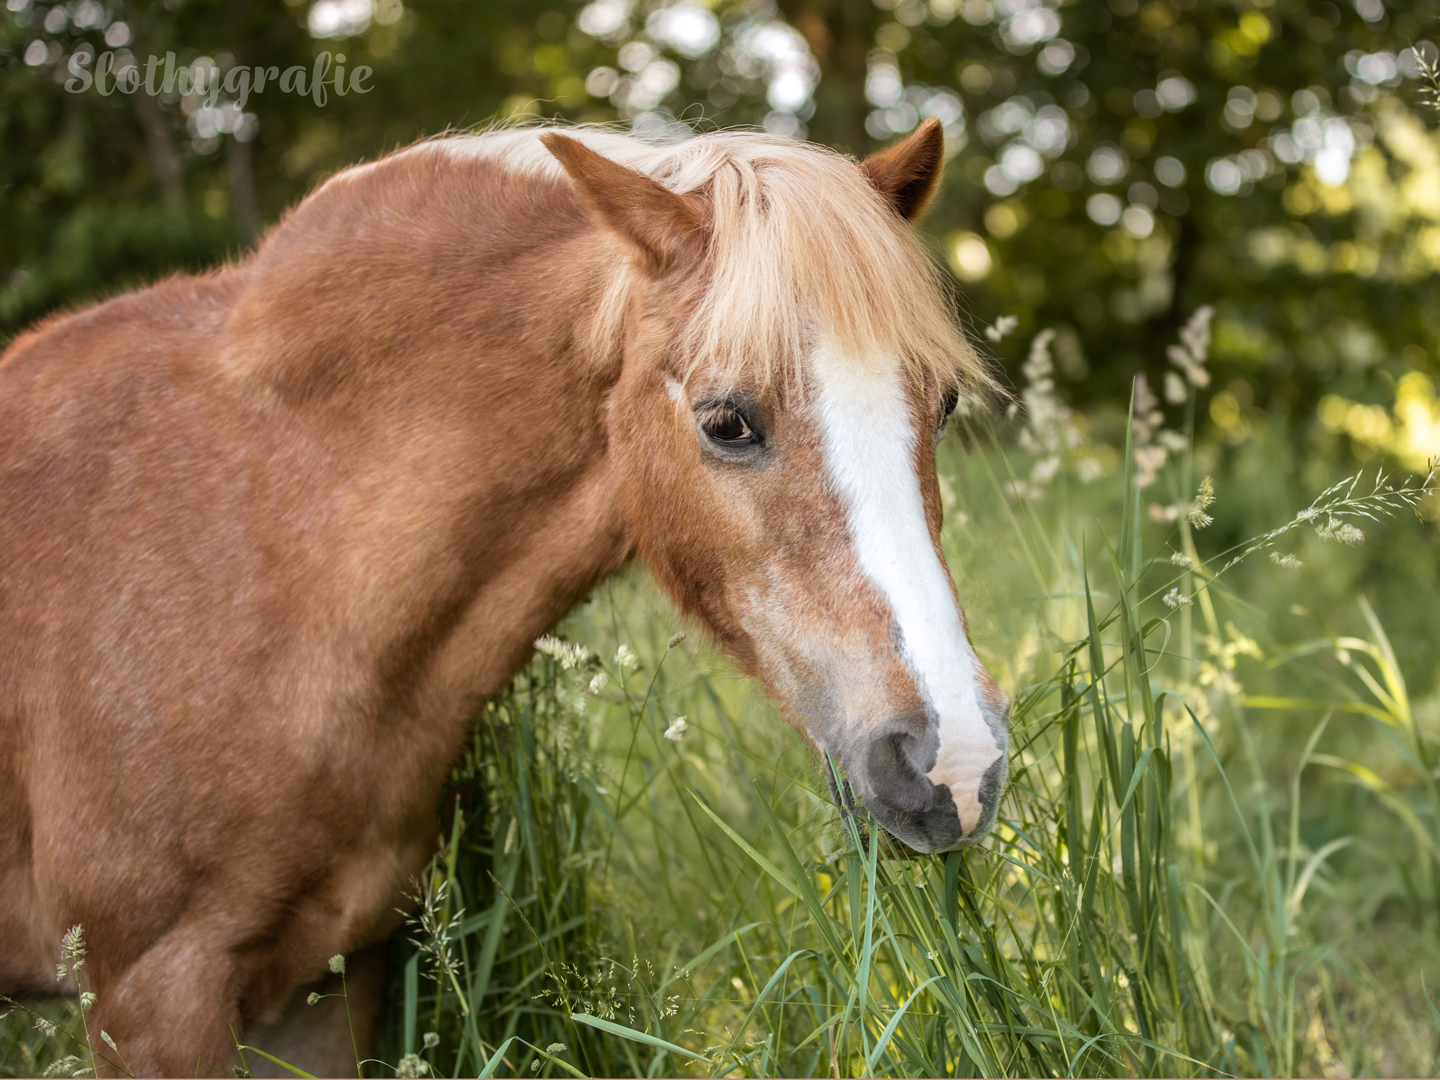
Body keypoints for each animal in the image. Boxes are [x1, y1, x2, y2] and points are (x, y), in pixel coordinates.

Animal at [0, 117, 1009, 1077]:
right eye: (728, 421)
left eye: (945, 403)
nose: (954, 763)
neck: (276, 544)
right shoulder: (153, 998)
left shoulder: (325, 988)